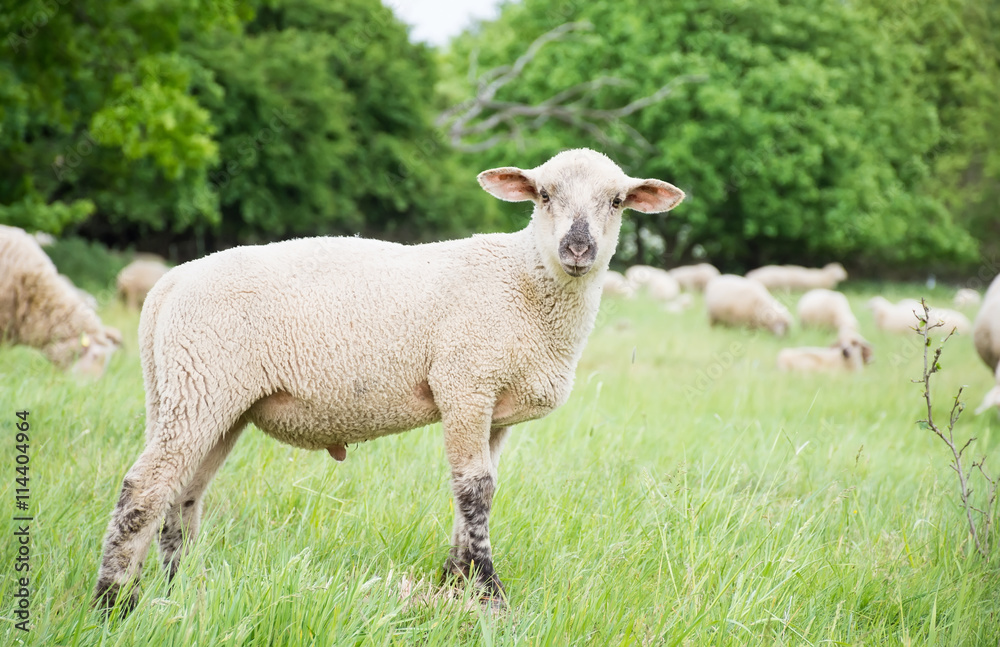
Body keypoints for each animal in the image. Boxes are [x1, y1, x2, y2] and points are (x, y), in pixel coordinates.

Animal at [92, 148, 688, 616]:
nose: (578, 249)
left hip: (206, 399)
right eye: (542, 194)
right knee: (144, 488)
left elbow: (478, 490)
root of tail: (169, 284)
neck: (523, 279)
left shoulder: (493, 405)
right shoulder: (465, 381)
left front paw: (455, 583)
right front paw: (490, 593)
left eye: (617, 201)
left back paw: (179, 589)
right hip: (200, 383)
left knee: (183, 493)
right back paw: (114, 603)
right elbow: (475, 489)